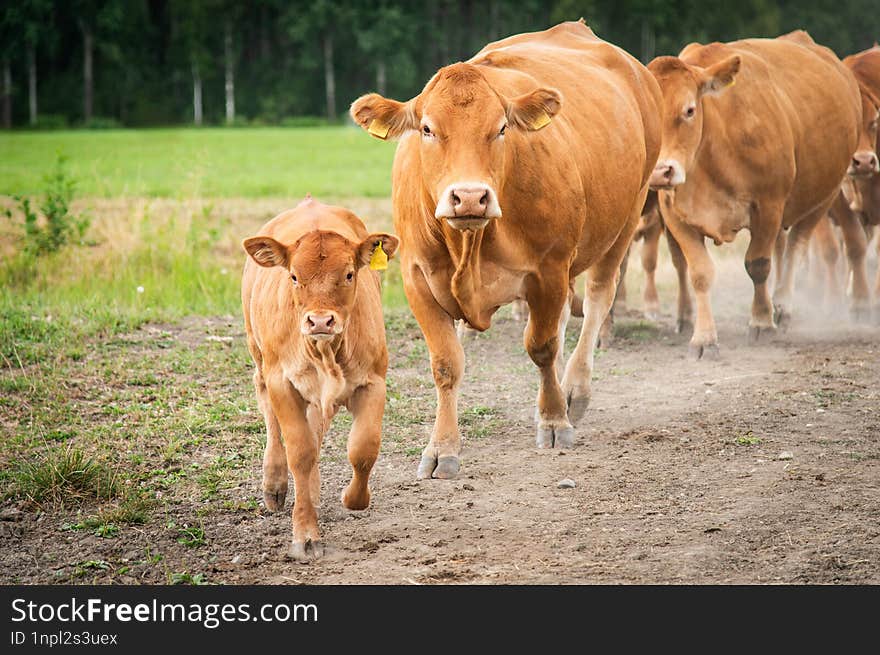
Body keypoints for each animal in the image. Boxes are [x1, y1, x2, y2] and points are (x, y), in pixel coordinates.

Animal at [244, 197, 402, 560]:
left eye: (348, 274)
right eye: (293, 276)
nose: (319, 321)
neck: (326, 352)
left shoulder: (373, 383)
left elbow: (363, 448)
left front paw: (352, 498)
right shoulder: (282, 383)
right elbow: (299, 453)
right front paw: (305, 534)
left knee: (317, 426)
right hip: (259, 357)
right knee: (270, 415)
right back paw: (275, 485)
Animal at [350, 20, 660, 476]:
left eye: (500, 128)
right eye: (427, 128)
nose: (469, 197)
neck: (471, 244)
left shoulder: (549, 269)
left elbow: (542, 347)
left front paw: (554, 420)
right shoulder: (417, 278)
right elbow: (446, 363)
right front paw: (442, 447)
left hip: (626, 218)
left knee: (597, 301)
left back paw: (574, 390)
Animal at [648, 30, 864, 358]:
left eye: (689, 110)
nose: (661, 171)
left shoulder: (769, 205)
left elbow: (758, 265)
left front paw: (762, 321)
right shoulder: (675, 214)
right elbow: (700, 273)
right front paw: (704, 338)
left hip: (824, 194)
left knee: (795, 246)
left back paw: (783, 305)